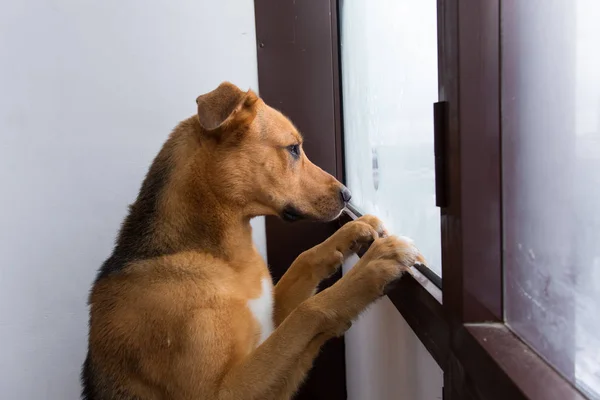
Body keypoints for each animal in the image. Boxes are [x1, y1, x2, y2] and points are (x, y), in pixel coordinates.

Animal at [82, 82, 424, 400]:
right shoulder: (223, 391)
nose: (348, 196)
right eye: (293, 149)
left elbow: (304, 261)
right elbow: (308, 311)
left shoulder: (269, 318)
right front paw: (372, 268)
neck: (223, 258)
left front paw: (354, 231)